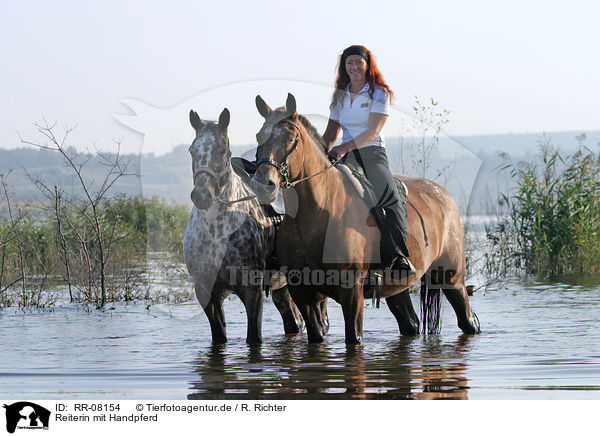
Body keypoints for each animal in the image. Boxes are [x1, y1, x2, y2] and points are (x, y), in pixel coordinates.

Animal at [183, 108, 304, 344]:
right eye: (192, 150)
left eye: (222, 150)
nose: (201, 196)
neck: (216, 233)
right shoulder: (207, 294)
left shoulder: (252, 292)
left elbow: (253, 337)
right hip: (282, 290)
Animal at [251, 93, 480, 344]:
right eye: (259, 136)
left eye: (291, 138)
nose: (263, 185)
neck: (316, 217)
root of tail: (444, 195)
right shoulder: (303, 295)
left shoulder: (352, 292)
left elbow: (353, 337)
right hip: (397, 288)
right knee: (410, 323)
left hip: (451, 279)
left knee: (468, 320)